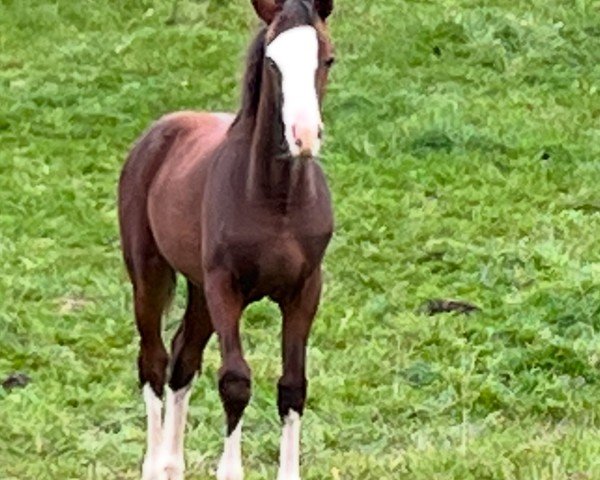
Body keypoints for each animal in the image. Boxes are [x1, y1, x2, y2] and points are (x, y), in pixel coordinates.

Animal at [116, 0, 338, 480]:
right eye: (272, 61)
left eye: (327, 58)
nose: (304, 136)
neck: (277, 200)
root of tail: (160, 130)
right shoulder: (225, 287)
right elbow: (235, 381)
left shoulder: (305, 289)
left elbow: (293, 386)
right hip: (150, 275)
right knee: (154, 363)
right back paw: (154, 463)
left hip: (199, 290)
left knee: (183, 359)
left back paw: (172, 465)